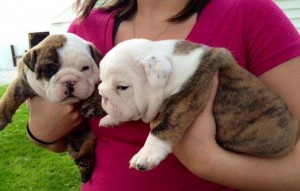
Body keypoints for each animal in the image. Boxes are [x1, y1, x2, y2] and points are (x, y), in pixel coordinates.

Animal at [0, 33, 104, 183]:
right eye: (48, 70)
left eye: (85, 68)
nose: (70, 81)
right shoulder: (23, 81)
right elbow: (10, 95)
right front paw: (1, 117)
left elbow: (98, 88)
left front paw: (93, 104)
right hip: (71, 145)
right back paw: (84, 170)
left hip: (90, 136)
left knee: (89, 143)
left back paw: (85, 160)